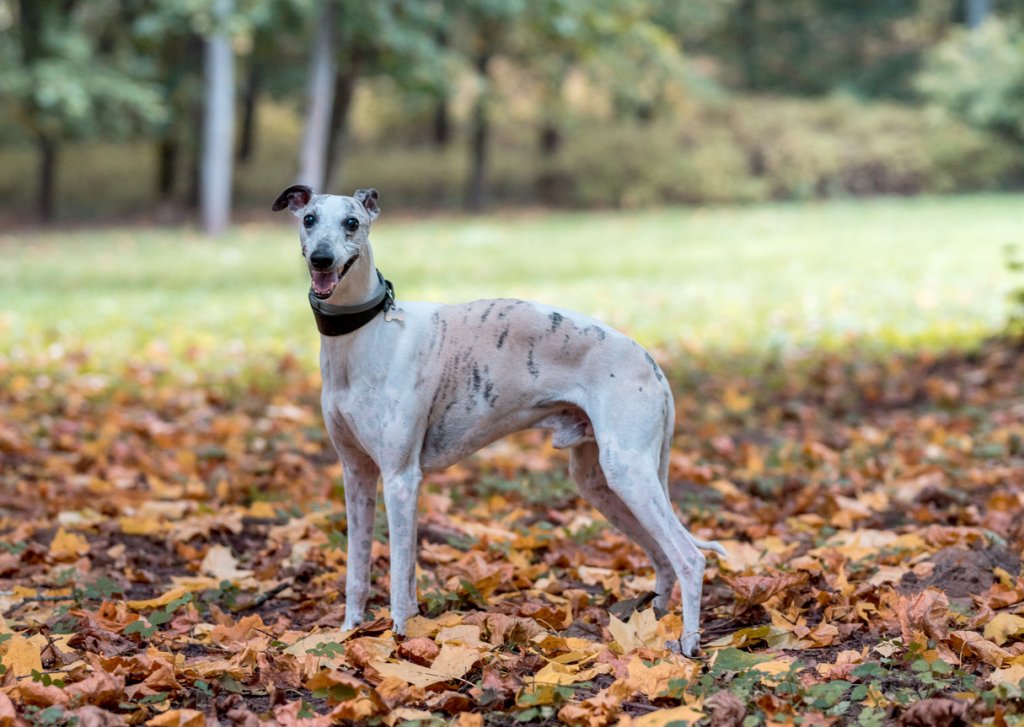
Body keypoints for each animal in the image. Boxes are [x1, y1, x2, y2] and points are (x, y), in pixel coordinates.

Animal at [268, 185, 724, 659]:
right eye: (309, 219)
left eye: (352, 223)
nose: (321, 259)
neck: (366, 334)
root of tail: (652, 363)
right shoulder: (357, 473)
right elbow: (359, 571)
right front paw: (349, 633)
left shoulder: (400, 478)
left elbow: (398, 575)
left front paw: (398, 641)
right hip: (600, 482)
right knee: (662, 556)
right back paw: (652, 629)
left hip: (628, 472)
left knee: (689, 557)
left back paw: (687, 644)